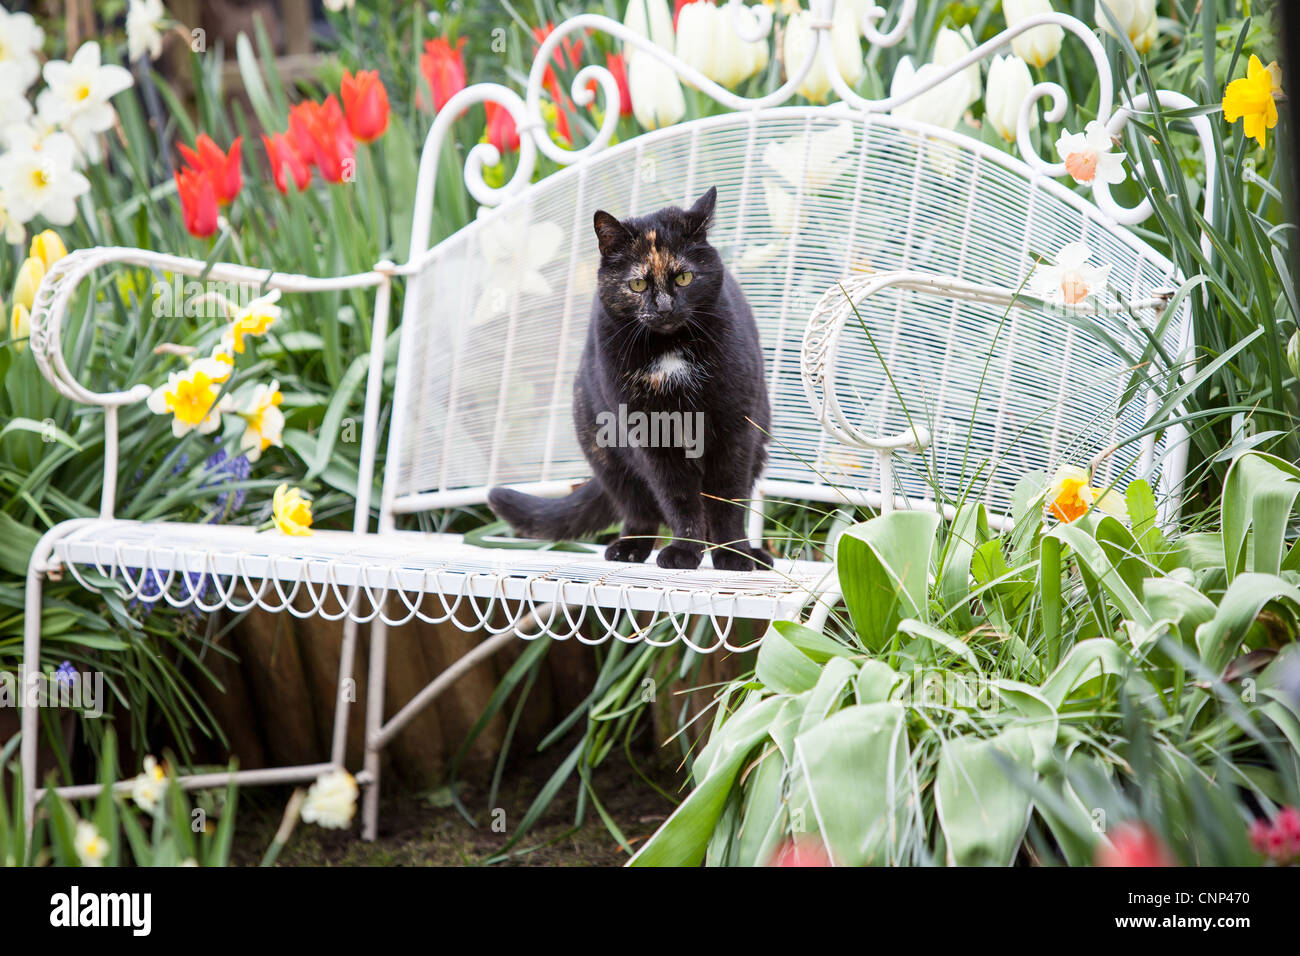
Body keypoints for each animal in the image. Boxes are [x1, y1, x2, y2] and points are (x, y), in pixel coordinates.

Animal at [486, 191, 769, 572]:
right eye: (638, 284)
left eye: (684, 278)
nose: (664, 307)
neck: (670, 350)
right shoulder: (650, 435)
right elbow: (679, 498)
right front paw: (684, 551)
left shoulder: (735, 429)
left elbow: (727, 499)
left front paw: (734, 554)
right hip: (604, 448)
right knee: (638, 508)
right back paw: (630, 547)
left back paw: (754, 554)